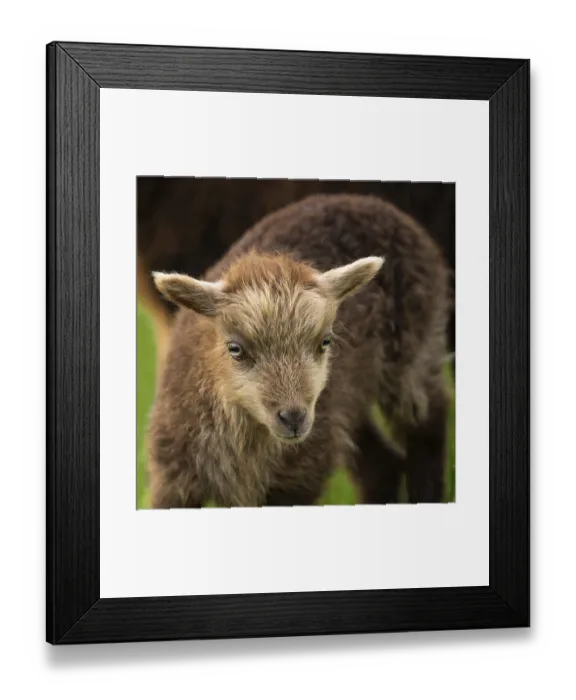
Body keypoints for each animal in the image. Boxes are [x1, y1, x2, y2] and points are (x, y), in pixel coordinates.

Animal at [147, 193, 452, 508]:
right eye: (235, 348)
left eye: (325, 342)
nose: (293, 417)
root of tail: (361, 200)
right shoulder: (172, 478)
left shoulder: (297, 480)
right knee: (383, 465)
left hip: (415, 348)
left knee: (428, 423)